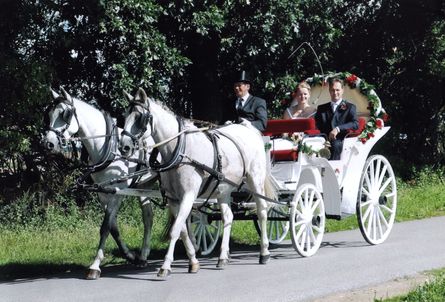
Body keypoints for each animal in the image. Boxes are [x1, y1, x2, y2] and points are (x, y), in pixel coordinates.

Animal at [41, 86, 156, 278]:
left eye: (65, 114)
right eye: (48, 114)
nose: (48, 143)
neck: (108, 148)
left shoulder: (118, 191)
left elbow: (105, 227)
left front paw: (95, 266)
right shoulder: (103, 193)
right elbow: (113, 227)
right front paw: (129, 255)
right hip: (144, 185)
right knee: (148, 217)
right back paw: (143, 256)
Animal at [119, 87, 276, 278]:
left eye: (139, 117)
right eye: (125, 115)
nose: (124, 147)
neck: (180, 150)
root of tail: (248, 129)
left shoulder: (188, 195)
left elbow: (175, 230)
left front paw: (165, 266)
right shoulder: (174, 199)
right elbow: (182, 230)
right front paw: (193, 262)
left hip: (255, 179)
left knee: (262, 212)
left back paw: (264, 252)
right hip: (223, 188)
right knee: (228, 217)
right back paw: (222, 258)